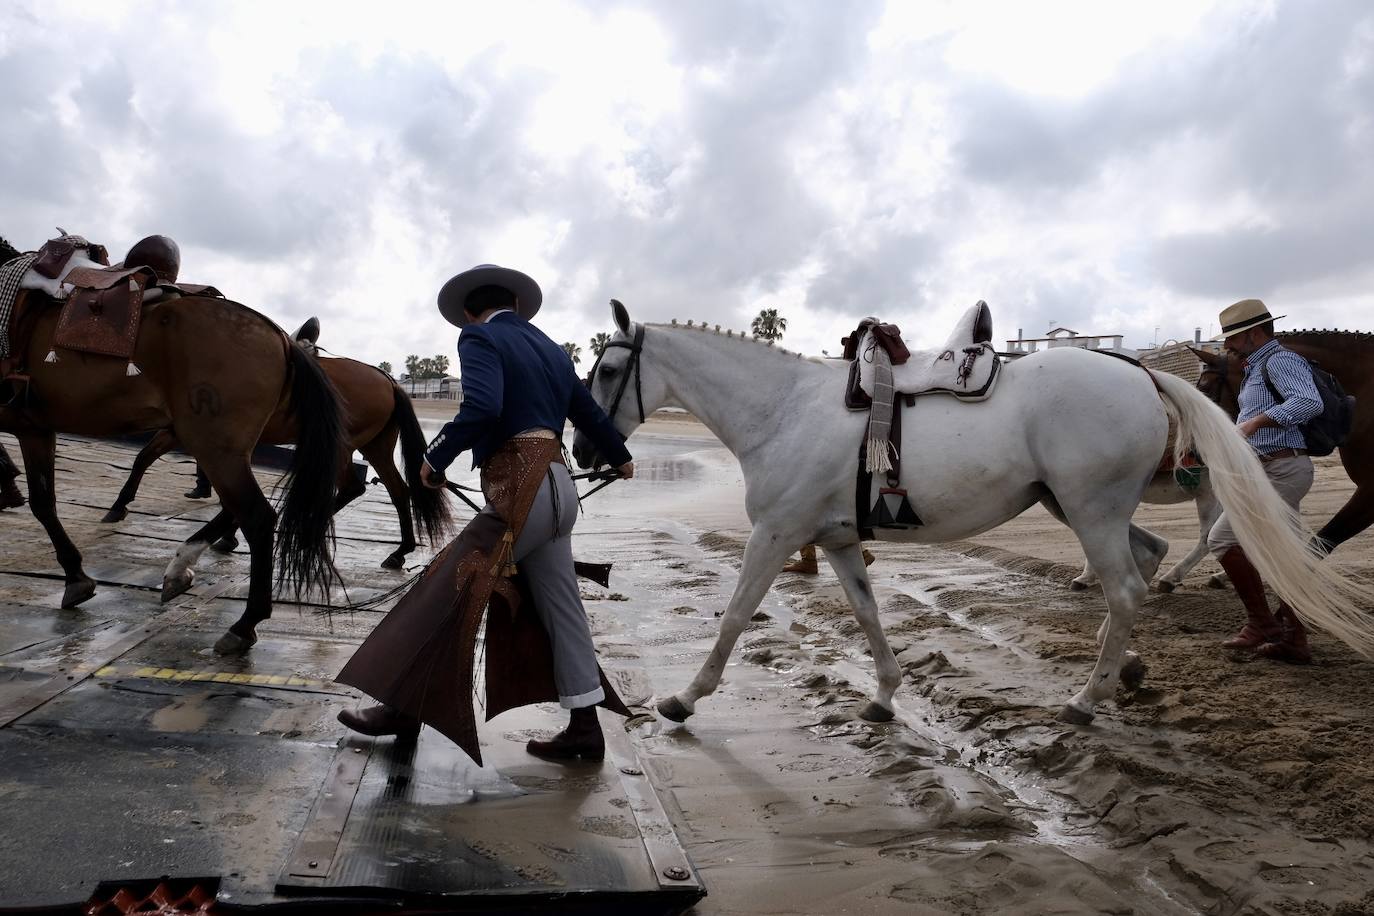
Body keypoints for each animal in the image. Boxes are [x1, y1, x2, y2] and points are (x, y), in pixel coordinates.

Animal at [0, 234, 343, 650]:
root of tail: (279, 337)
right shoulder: (34, 427)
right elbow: (44, 502)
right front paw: (76, 576)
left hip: (215, 444)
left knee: (257, 516)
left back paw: (243, 622)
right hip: (217, 444)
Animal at [100, 354, 450, 574]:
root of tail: (389, 380)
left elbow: (148, 457)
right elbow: (146, 457)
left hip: (343, 445)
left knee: (354, 487)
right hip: (374, 446)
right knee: (398, 491)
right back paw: (399, 551)